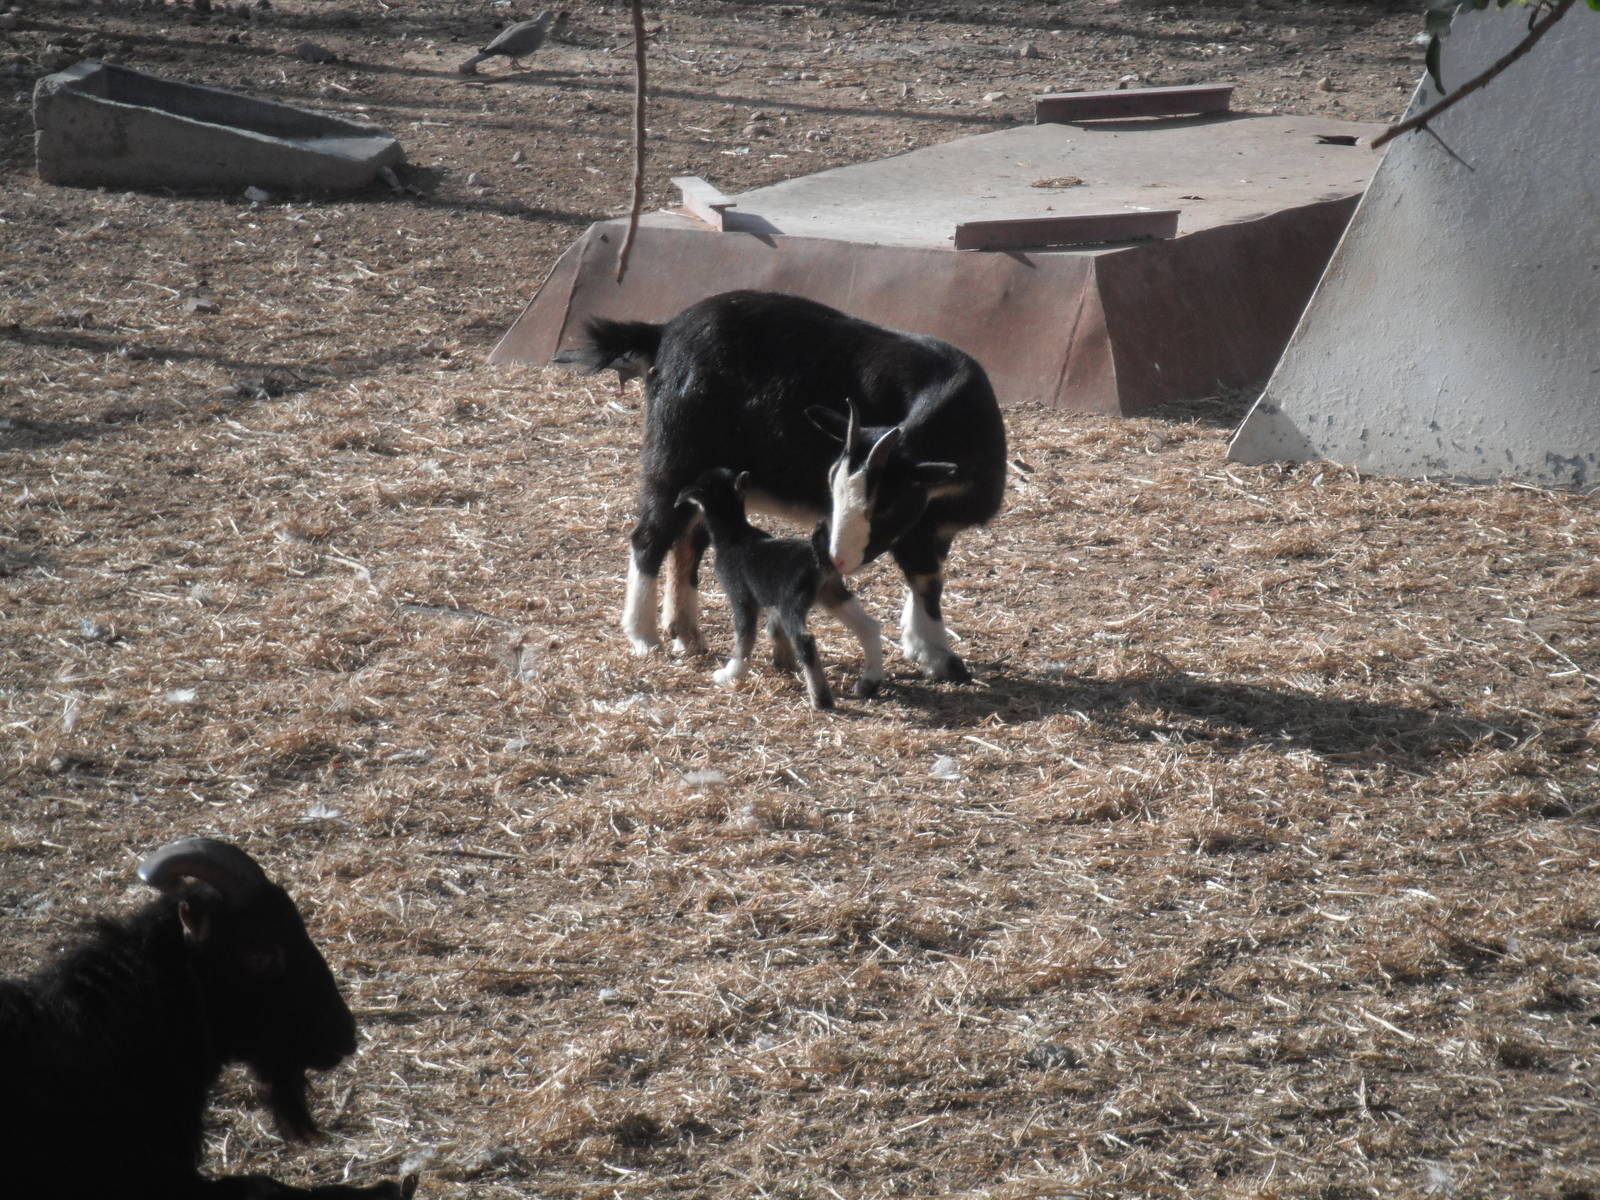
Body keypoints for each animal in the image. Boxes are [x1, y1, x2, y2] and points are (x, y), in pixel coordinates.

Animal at [560, 289, 1007, 683]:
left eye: (886, 503)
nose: (837, 560)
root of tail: (663, 332)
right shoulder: (917, 530)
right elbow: (925, 580)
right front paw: (939, 657)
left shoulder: (932, 527)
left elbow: (927, 581)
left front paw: (924, 648)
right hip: (674, 457)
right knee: (650, 537)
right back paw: (644, 637)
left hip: (710, 478)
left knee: (688, 540)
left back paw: (686, 635)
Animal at [676, 467, 885, 708]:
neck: (735, 535)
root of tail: (819, 559)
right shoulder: (772, 600)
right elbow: (775, 630)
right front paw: (783, 661)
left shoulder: (741, 598)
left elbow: (744, 639)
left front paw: (731, 673)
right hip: (832, 594)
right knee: (868, 626)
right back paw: (870, 681)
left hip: (793, 604)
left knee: (806, 641)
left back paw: (821, 698)